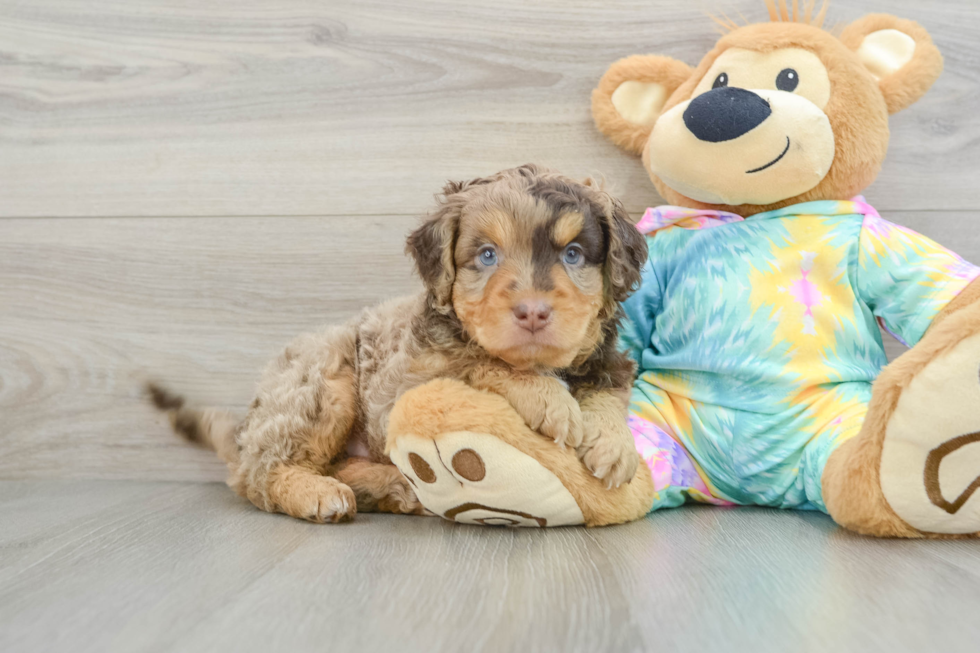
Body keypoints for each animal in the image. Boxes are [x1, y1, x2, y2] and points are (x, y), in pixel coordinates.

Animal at [149, 166, 648, 524]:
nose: (532, 312)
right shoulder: (407, 382)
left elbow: (609, 388)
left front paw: (614, 446)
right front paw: (552, 401)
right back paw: (319, 493)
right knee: (258, 473)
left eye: (573, 255)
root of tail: (248, 424)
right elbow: (481, 362)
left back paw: (396, 488)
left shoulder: (607, 360)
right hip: (322, 385)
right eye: (487, 255)